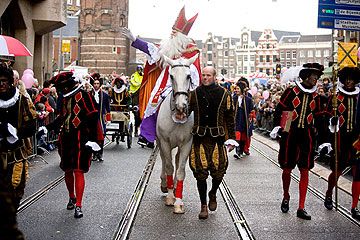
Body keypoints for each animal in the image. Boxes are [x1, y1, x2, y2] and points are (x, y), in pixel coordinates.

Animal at [156, 54, 198, 214]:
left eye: (188, 76)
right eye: (171, 76)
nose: (181, 106)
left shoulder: (186, 143)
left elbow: (180, 171)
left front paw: (178, 202)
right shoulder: (165, 142)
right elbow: (169, 166)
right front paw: (169, 197)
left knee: (177, 159)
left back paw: (173, 188)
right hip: (160, 143)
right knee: (164, 160)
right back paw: (165, 185)